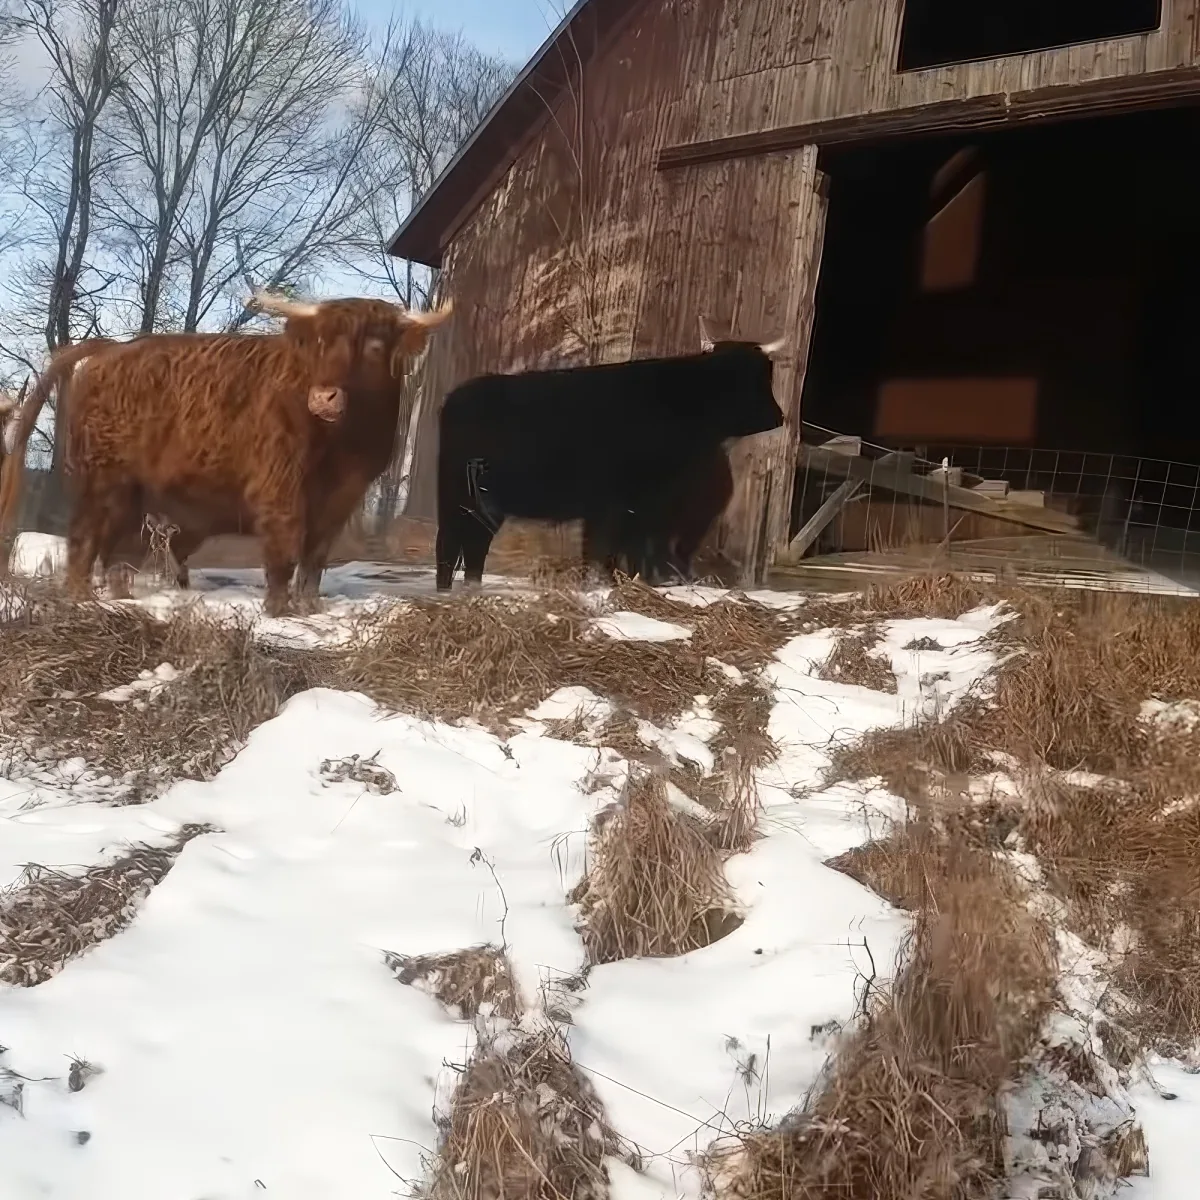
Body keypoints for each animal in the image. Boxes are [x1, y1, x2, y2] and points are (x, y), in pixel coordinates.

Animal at [0, 293, 452, 615]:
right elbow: (285, 547)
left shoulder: (346, 495)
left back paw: (123, 599)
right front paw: (278, 610)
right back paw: (80, 597)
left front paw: (310, 607)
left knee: (118, 549)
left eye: (374, 347)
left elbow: (316, 556)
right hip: (104, 479)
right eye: (320, 344)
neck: (344, 441)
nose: (323, 397)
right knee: (85, 537)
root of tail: (113, 349)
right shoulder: (280, 484)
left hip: (136, 492)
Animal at [435, 324, 785, 591]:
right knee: (450, 543)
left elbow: (631, 552)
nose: (780, 416)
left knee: (474, 544)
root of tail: (457, 396)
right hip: (459, 497)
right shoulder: (618, 506)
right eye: (755, 379)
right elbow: (606, 551)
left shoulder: (644, 510)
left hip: (484, 506)